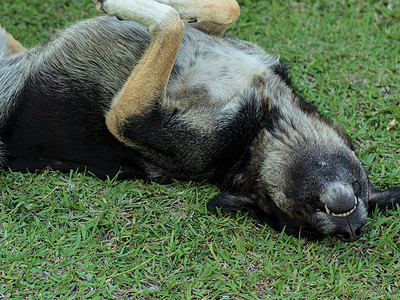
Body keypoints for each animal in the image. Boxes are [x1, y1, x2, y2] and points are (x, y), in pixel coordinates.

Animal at [0, 0, 398, 241]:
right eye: (362, 192)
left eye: (311, 219)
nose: (347, 223)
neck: (258, 127)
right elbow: (224, 11)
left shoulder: (129, 119)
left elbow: (171, 26)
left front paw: (124, 7)